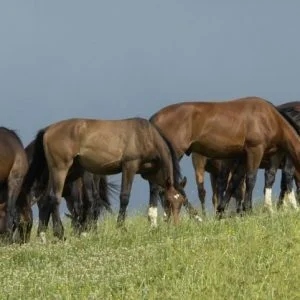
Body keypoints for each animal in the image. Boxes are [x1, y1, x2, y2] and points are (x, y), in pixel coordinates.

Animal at [22, 116, 185, 240]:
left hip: (60, 172)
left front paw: (153, 224)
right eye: (169, 202)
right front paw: (121, 227)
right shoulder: (129, 166)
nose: (177, 225)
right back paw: (59, 233)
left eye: (181, 202)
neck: (145, 134)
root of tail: (48, 129)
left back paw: (43, 235)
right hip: (60, 169)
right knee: (54, 198)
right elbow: (124, 197)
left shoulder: (150, 174)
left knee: (46, 200)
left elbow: (154, 192)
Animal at [149, 96, 300, 220]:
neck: (268, 117)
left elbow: (235, 183)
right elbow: (251, 180)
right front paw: (249, 210)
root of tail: (154, 119)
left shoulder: (246, 156)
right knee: (159, 187)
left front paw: (222, 212)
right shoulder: (255, 151)